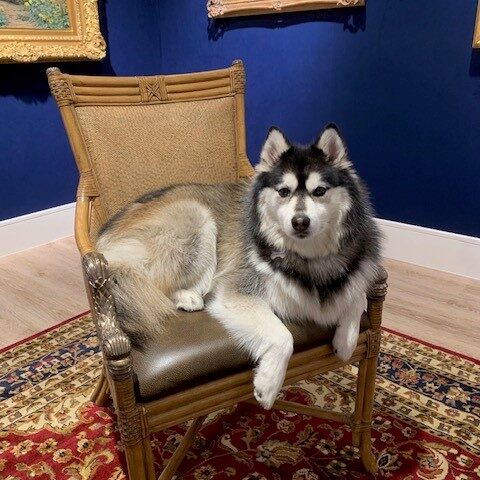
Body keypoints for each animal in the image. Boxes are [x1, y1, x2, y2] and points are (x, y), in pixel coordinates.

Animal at [96, 124, 382, 408]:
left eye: (320, 191)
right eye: (283, 192)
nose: (300, 221)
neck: (308, 259)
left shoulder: (359, 272)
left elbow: (355, 298)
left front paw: (346, 340)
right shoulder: (236, 292)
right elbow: (283, 336)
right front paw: (268, 384)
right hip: (197, 219)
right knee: (152, 286)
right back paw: (188, 297)